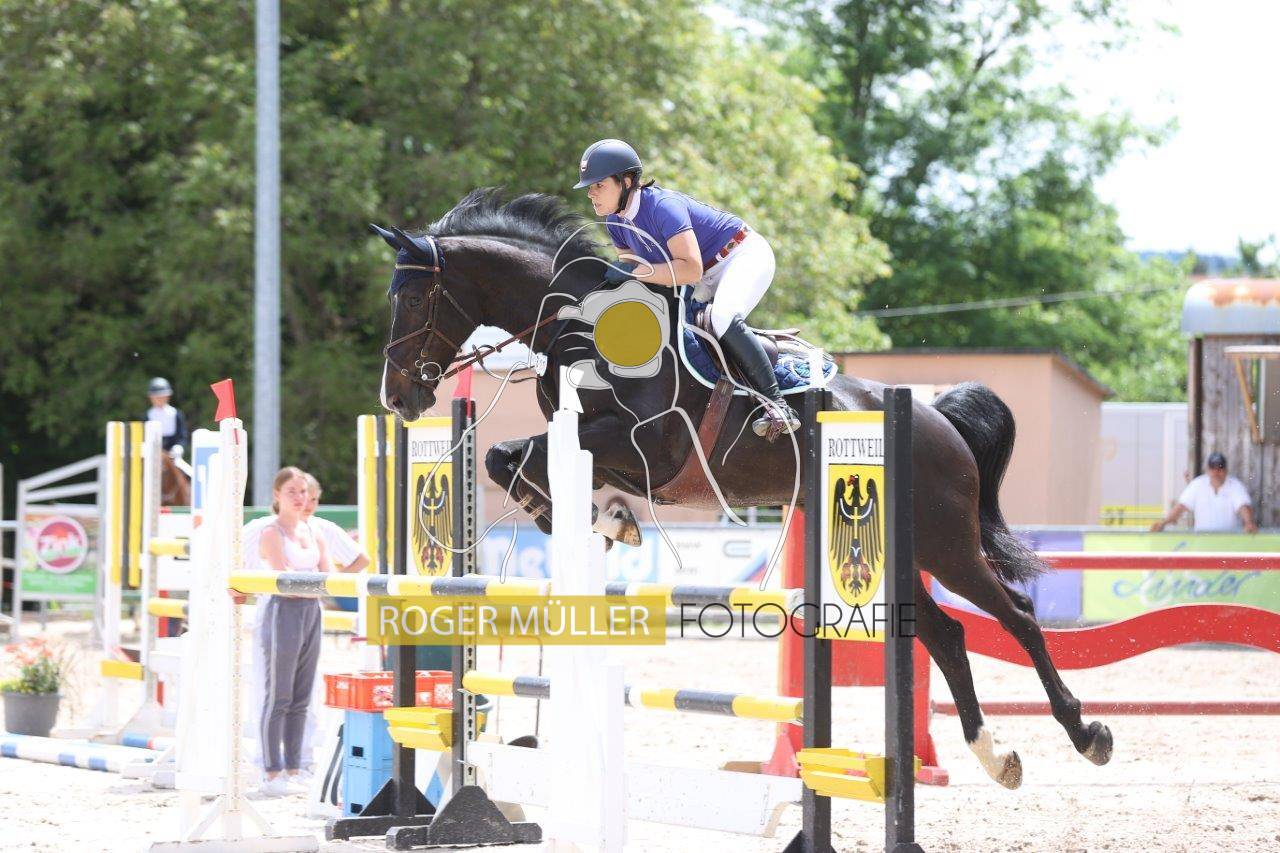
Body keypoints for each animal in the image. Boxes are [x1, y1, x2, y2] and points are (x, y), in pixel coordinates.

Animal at [372, 188, 1112, 788]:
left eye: (410, 298)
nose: (397, 398)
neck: (584, 323)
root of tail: (935, 417)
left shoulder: (645, 443)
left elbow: (522, 456)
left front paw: (603, 522)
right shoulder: (591, 444)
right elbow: (506, 459)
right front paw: (596, 522)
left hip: (943, 540)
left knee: (1017, 614)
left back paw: (1086, 733)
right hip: (901, 551)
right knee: (948, 635)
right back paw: (996, 755)